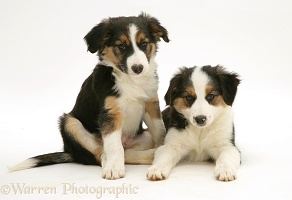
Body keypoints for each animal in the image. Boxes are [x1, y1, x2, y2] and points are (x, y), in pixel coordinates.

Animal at [10, 13, 169, 180]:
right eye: (121, 46)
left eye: (144, 44)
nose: (138, 68)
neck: (131, 81)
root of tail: (72, 153)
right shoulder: (110, 113)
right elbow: (114, 145)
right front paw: (114, 168)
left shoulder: (151, 105)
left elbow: (160, 131)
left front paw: (163, 151)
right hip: (70, 123)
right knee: (102, 153)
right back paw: (112, 162)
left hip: (143, 136)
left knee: (128, 151)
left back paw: (151, 154)